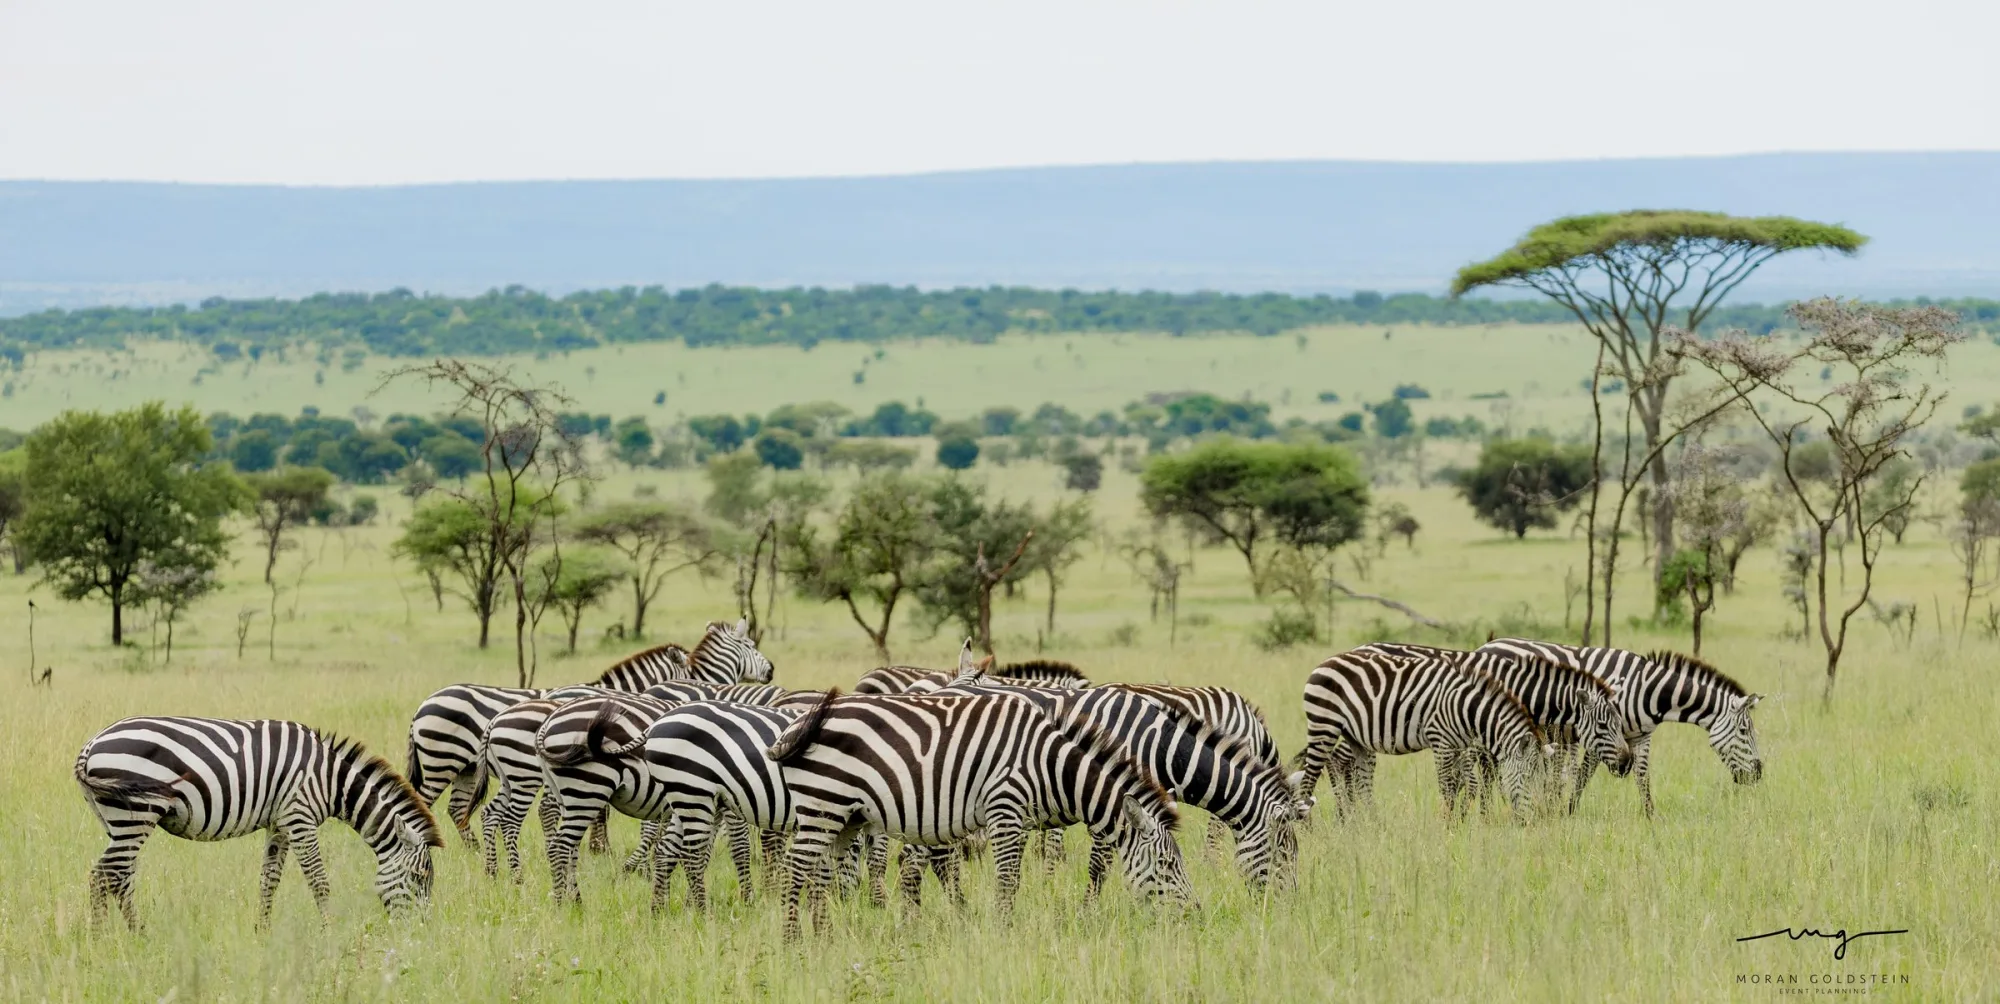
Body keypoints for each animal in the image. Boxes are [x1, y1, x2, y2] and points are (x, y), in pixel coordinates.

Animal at [75, 717, 442, 929]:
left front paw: (261, 932)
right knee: (101, 876)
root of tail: (90, 745)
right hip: (136, 815)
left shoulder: (279, 824)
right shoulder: (300, 817)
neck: (330, 780)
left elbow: (269, 881)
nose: (420, 933)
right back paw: (100, 941)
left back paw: (139, 935)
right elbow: (319, 881)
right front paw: (330, 932)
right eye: (419, 878)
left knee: (120, 877)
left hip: (118, 822)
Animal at [766, 690, 1194, 940]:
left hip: (843, 815)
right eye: (1167, 865)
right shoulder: (1005, 808)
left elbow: (1010, 878)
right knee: (794, 869)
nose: (1197, 916)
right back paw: (792, 943)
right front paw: (1005, 934)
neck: (1049, 766)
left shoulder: (1019, 818)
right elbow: (1008, 880)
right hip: (823, 804)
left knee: (820, 872)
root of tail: (799, 722)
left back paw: (824, 938)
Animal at [1299, 648, 1554, 820]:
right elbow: (1447, 788)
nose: (1537, 818)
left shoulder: (1460, 746)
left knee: (1362, 782)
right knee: (1309, 779)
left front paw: (1459, 822)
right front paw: (1448, 827)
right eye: (1528, 777)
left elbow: (1467, 785)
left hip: (1355, 738)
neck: (1466, 708)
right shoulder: (1441, 742)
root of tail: (1325, 662)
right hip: (1324, 726)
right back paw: (1306, 828)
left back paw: (1372, 825)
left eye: (1543, 779)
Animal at [1356, 642, 1634, 811]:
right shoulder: (1481, 737)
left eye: (1619, 723)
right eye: (1602, 725)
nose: (1626, 763)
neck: (1514, 686)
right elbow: (1483, 780)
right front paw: (1483, 817)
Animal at [1478, 639, 1765, 815]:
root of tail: (1487, 645)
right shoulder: (1598, 735)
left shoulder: (1641, 737)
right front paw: (1568, 813)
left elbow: (1642, 777)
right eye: (1744, 732)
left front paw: (1651, 817)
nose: (1758, 774)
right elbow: (1583, 776)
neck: (1648, 690)